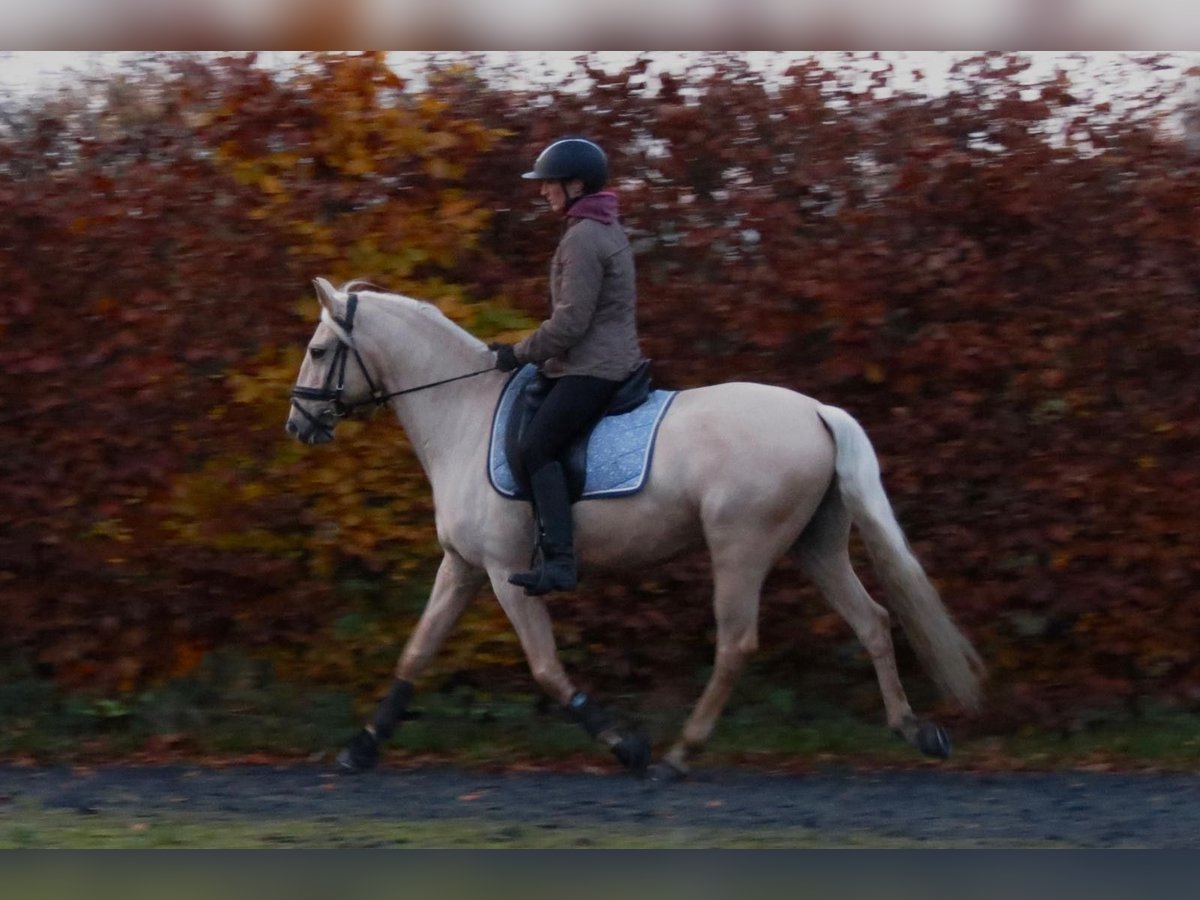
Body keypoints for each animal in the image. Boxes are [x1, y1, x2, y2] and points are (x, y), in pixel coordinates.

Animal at [285, 278, 979, 777]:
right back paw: (916, 730)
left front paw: (626, 745)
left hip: (741, 549)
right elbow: (417, 650)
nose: (298, 425)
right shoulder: (462, 567)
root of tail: (815, 411)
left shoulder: (507, 574)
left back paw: (676, 756)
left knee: (736, 645)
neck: (462, 413)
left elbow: (546, 669)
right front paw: (361, 747)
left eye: (319, 351)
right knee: (873, 621)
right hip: (816, 546)